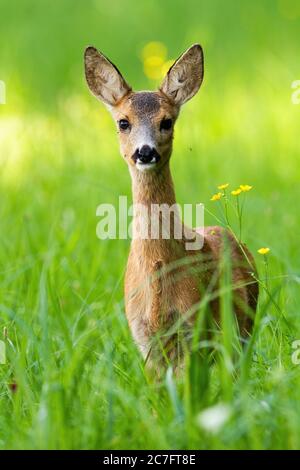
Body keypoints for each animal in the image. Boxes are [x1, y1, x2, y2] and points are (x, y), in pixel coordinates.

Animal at [84, 44, 258, 368]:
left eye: (166, 122)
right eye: (123, 122)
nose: (145, 152)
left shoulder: (195, 328)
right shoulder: (143, 339)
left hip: (241, 329)